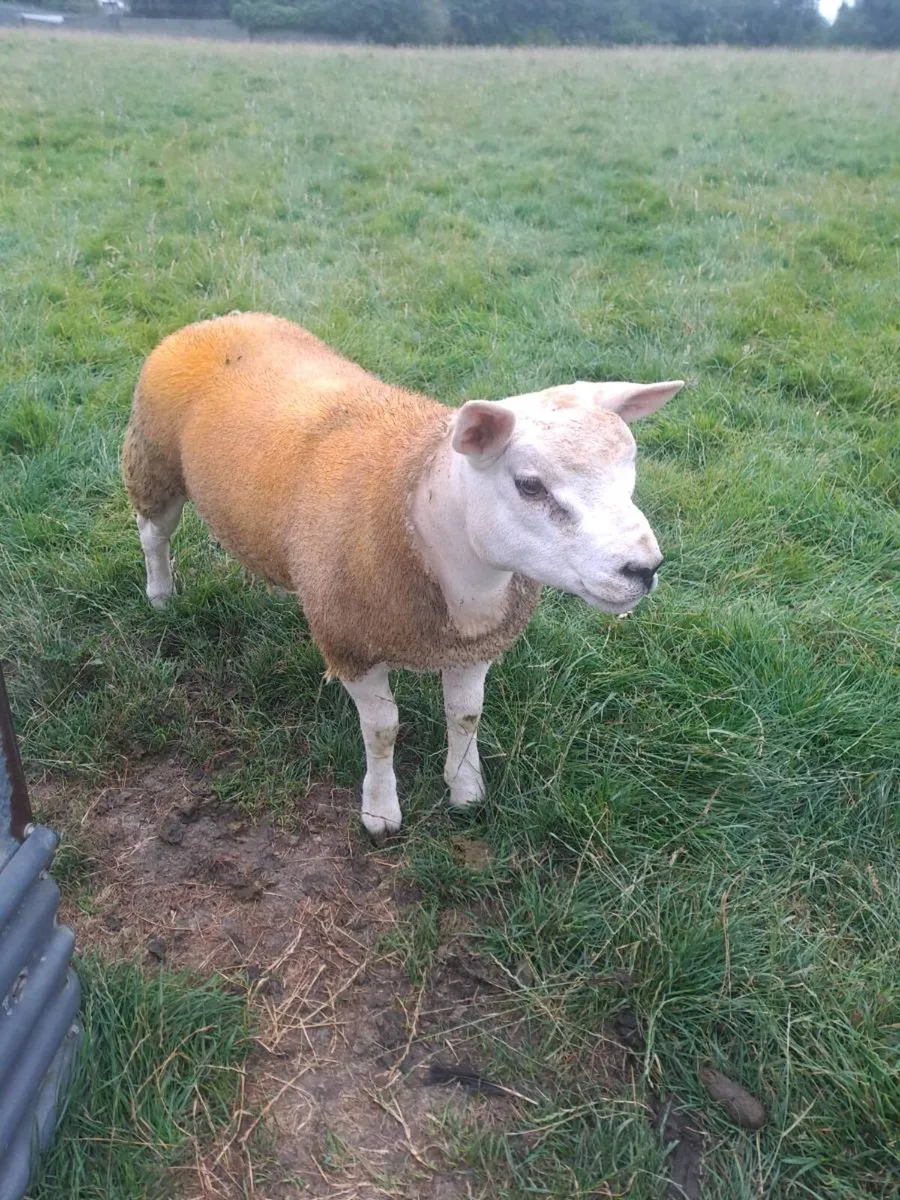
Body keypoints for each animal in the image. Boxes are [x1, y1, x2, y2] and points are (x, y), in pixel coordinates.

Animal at [122, 312, 683, 839]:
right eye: (529, 485)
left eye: (631, 465)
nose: (643, 568)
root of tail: (218, 321)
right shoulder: (352, 645)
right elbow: (383, 731)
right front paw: (380, 811)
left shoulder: (472, 643)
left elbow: (466, 713)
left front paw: (466, 789)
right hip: (153, 462)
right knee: (153, 535)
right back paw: (160, 596)